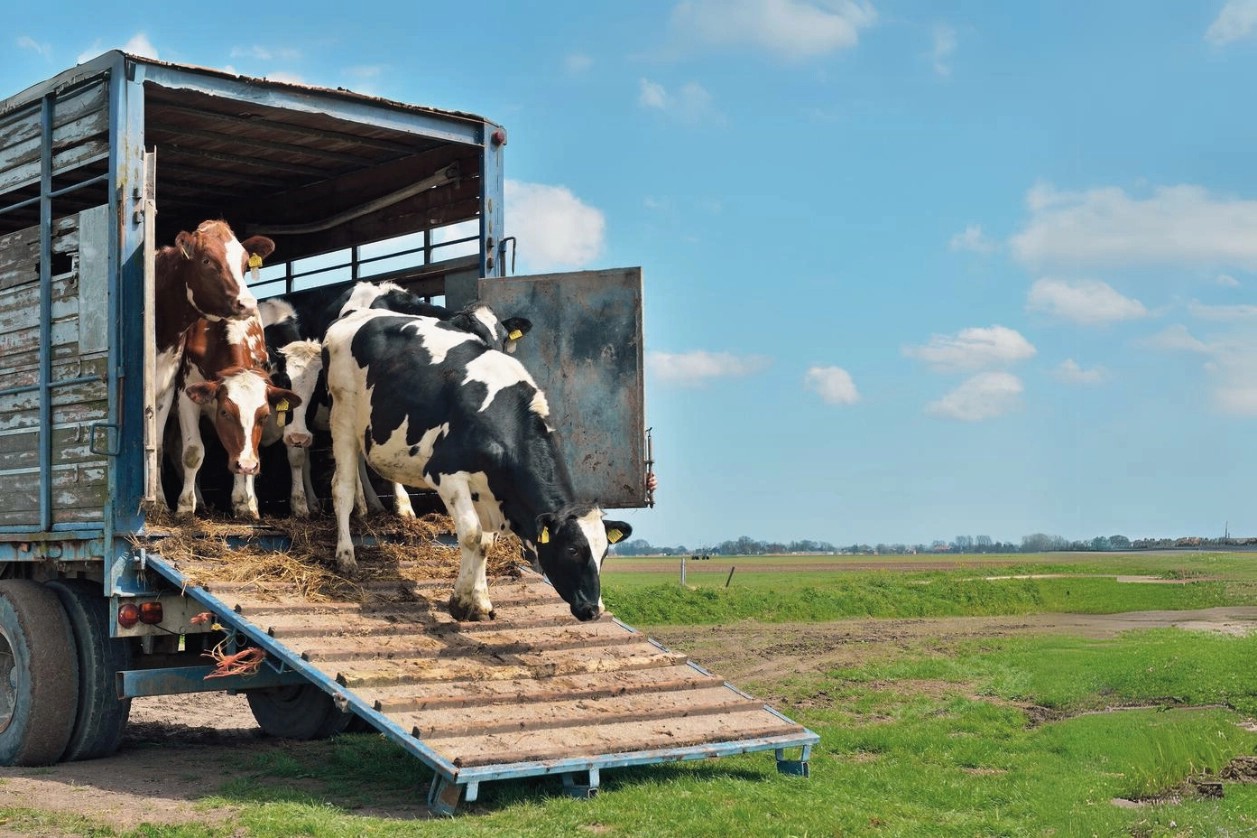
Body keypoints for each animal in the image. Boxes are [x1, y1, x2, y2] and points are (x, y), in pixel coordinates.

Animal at [174, 314, 299, 517]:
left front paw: (244, 502)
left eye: (264, 415)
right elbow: (193, 453)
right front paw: (184, 505)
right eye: (225, 412)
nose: (247, 465)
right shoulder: (186, 395)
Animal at [319, 307, 623, 623]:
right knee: (341, 489)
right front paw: (461, 601)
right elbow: (472, 535)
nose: (593, 609)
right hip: (342, 418)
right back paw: (346, 556)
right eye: (572, 549)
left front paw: (481, 601)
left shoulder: (487, 491)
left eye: (604, 553)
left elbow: (486, 544)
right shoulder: (447, 474)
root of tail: (356, 315)